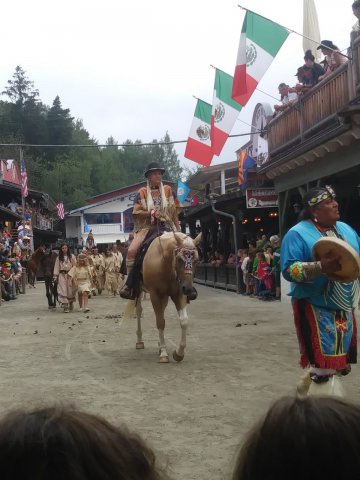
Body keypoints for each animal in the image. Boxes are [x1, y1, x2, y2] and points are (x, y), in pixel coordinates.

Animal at [133, 232, 200, 364]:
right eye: (179, 259)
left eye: (196, 260)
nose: (189, 289)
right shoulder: (154, 294)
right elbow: (160, 322)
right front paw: (164, 353)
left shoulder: (178, 293)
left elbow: (184, 321)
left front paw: (178, 353)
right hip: (139, 291)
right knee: (139, 311)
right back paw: (139, 341)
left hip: (165, 296)